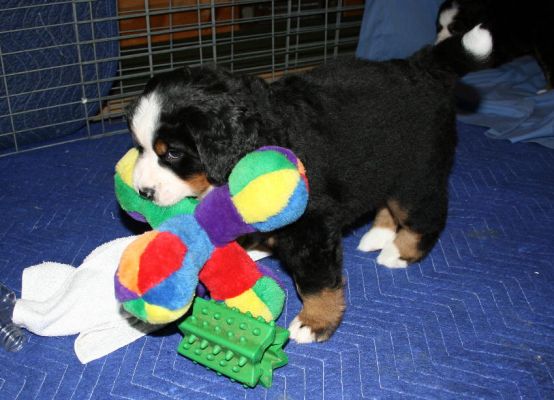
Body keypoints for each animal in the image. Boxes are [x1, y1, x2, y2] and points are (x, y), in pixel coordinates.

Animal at [126, 25, 492, 344]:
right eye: (140, 147)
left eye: (173, 153)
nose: (143, 192)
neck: (259, 137)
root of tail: (424, 68)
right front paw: (250, 243)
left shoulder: (311, 224)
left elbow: (316, 281)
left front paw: (315, 322)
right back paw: (378, 235)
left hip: (416, 174)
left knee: (427, 214)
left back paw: (399, 252)